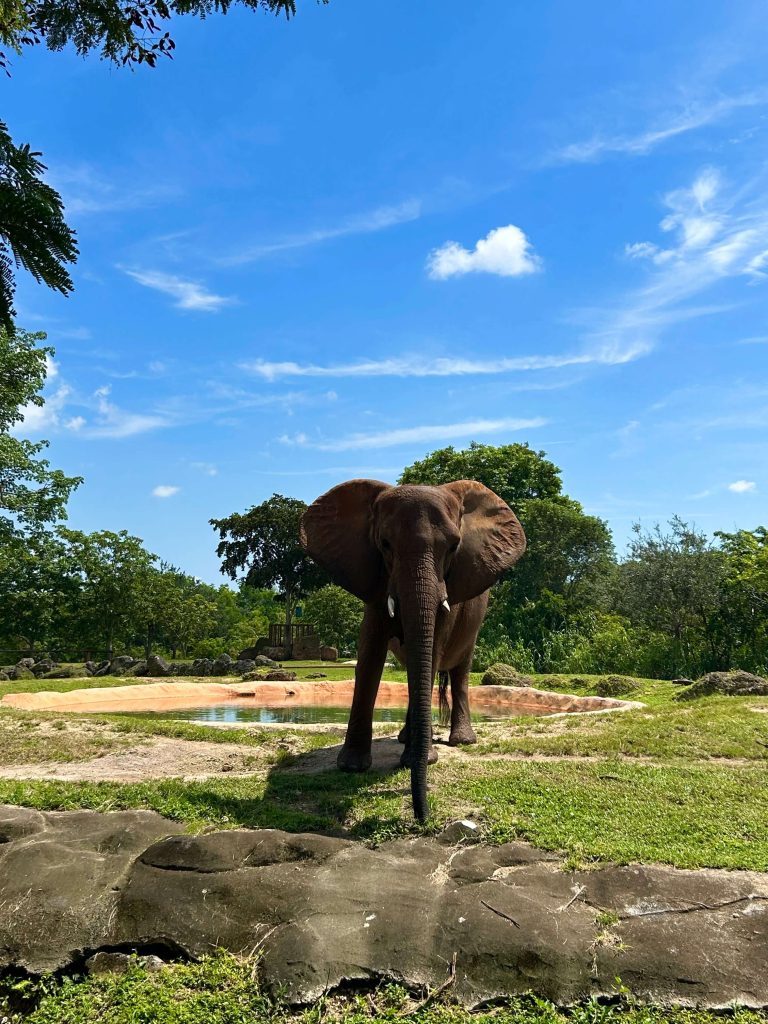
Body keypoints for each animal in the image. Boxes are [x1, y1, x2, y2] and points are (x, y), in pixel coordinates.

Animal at [301, 479, 528, 823]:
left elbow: (432, 651)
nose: (423, 815)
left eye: (453, 546)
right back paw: (408, 740)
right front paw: (351, 767)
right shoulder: (375, 579)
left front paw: (423, 759)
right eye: (385, 544)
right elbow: (369, 655)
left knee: (459, 669)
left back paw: (460, 741)